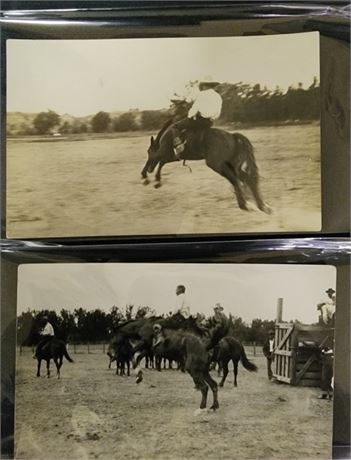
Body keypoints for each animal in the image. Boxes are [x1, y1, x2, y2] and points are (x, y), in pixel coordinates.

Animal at [140, 119, 272, 215]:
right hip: (231, 164)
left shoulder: (163, 152)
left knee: (236, 180)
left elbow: (157, 159)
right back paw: (260, 206)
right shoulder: (172, 156)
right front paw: (156, 180)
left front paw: (146, 177)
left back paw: (246, 205)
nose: (150, 169)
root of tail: (232, 136)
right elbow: (162, 162)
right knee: (246, 179)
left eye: (148, 151)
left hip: (218, 165)